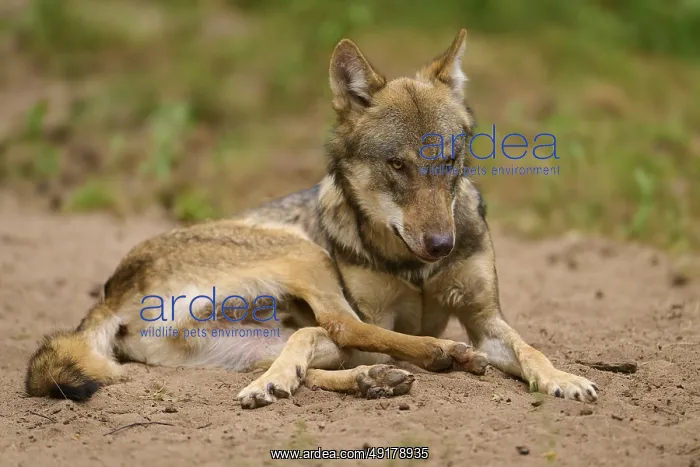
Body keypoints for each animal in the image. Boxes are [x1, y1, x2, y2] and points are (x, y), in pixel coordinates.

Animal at [25, 29, 598, 408]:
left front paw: (563, 379)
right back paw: (435, 355)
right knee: (338, 327)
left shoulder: (485, 318)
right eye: (397, 165)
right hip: (304, 255)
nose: (440, 245)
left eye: (450, 161)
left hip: (258, 341)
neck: (414, 267)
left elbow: (530, 348)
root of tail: (110, 291)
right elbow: (364, 325)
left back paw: (367, 381)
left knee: (309, 350)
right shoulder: (383, 314)